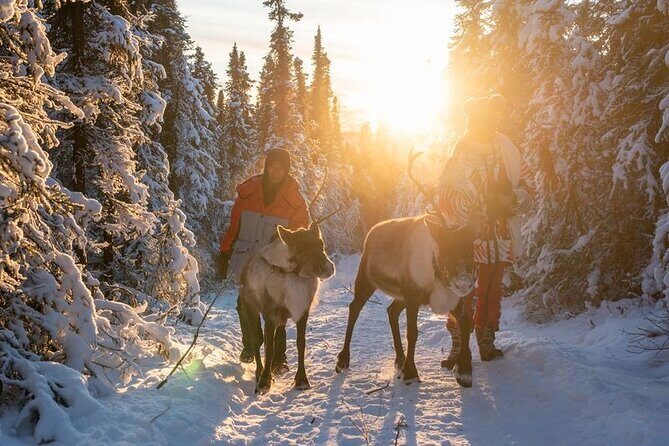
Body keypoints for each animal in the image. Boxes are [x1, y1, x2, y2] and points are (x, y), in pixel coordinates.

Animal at [335, 151, 479, 387]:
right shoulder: (413, 296)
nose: (465, 281)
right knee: (354, 308)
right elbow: (412, 333)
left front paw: (464, 370)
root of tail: (371, 232)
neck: (435, 272)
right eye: (444, 246)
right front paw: (411, 372)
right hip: (366, 280)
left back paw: (399, 358)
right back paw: (343, 359)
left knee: (391, 311)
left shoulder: (451, 298)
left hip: (399, 294)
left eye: (472, 246)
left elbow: (466, 322)